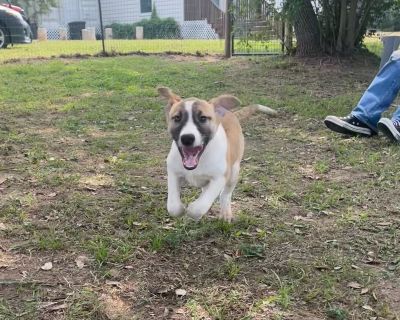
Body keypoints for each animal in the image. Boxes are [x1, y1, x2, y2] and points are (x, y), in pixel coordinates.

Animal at [158, 87, 276, 222]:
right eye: (177, 118)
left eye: (203, 118)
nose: (187, 138)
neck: (201, 159)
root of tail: (229, 113)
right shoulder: (173, 172)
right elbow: (173, 207)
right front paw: (182, 209)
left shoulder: (220, 177)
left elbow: (199, 206)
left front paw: (193, 210)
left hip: (234, 172)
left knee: (225, 194)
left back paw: (225, 213)